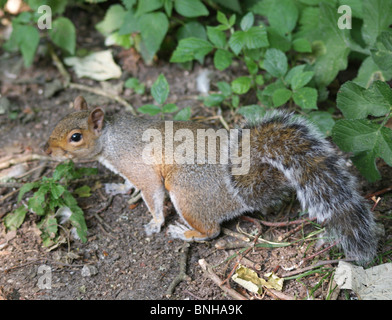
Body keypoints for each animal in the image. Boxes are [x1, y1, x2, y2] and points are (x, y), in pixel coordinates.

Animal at [43, 96, 380, 264]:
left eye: (75, 137)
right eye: (57, 121)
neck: (110, 141)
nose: (46, 150)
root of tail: (242, 194)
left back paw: (184, 233)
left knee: (212, 231)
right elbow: (129, 184)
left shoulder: (143, 170)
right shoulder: (129, 171)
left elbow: (152, 194)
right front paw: (117, 187)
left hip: (185, 191)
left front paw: (155, 223)